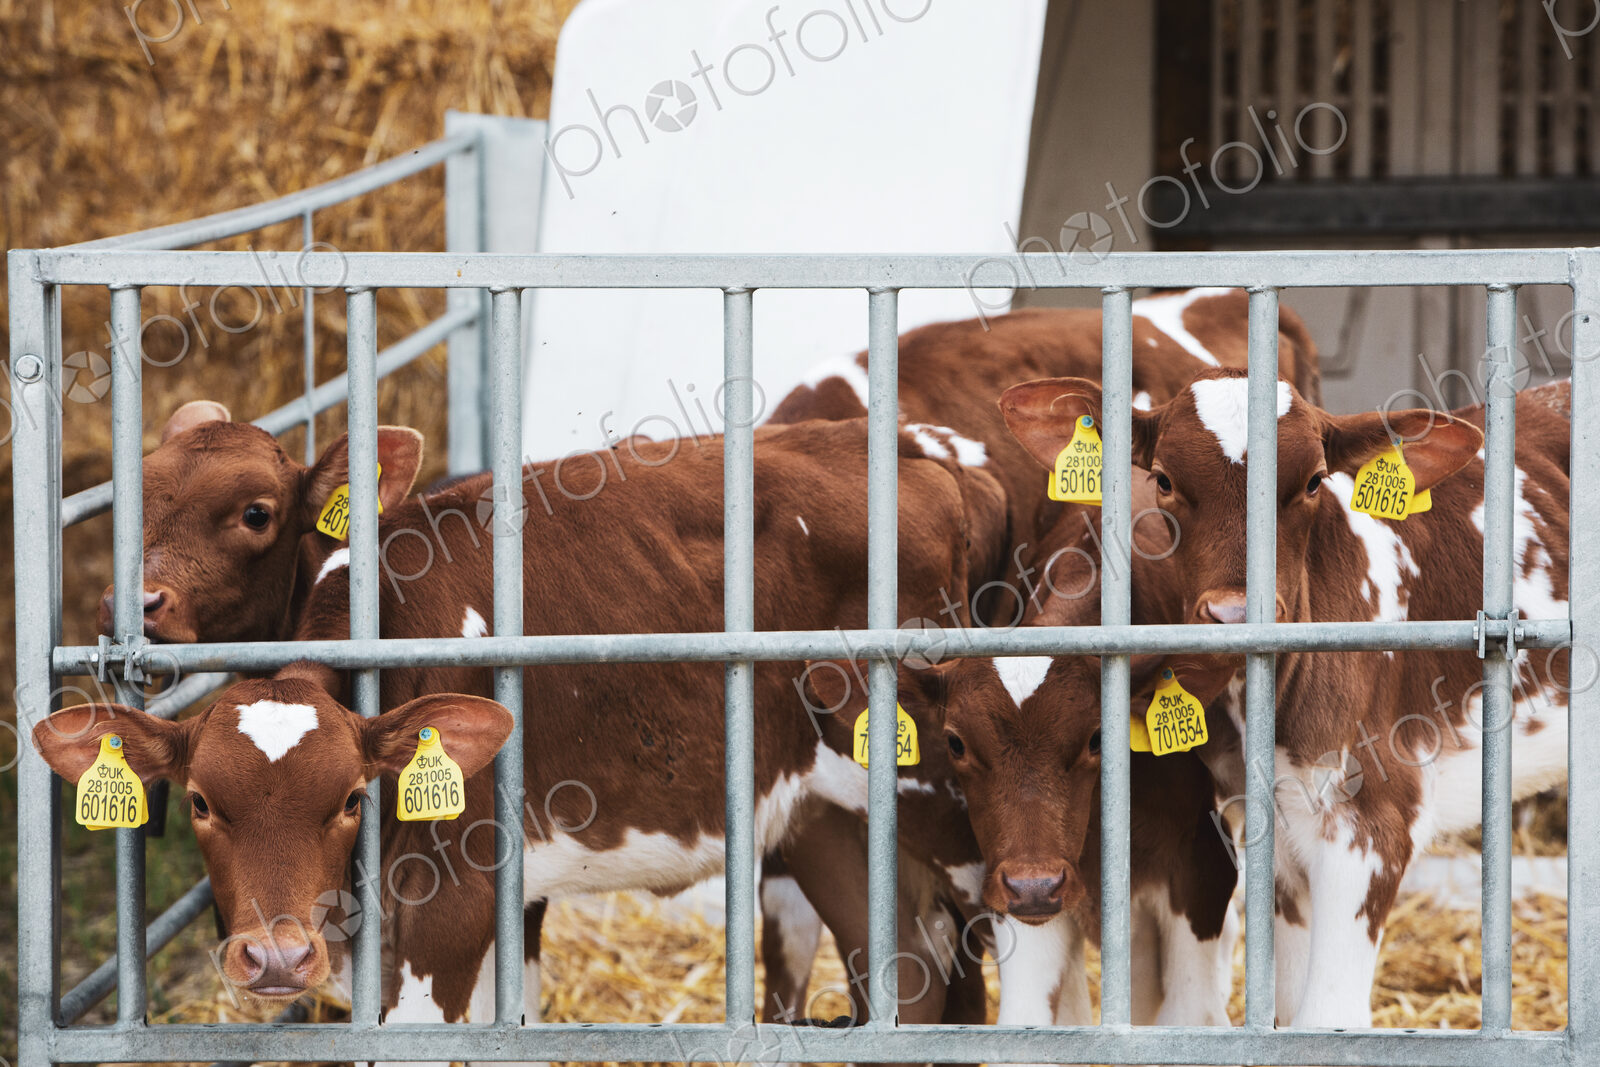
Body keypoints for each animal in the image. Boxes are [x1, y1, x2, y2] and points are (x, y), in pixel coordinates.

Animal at [998, 367, 1571, 1027]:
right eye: (1164, 479)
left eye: (1315, 481)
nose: (1234, 614)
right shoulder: (1273, 819)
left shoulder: (1373, 814)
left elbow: (1327, 1017)